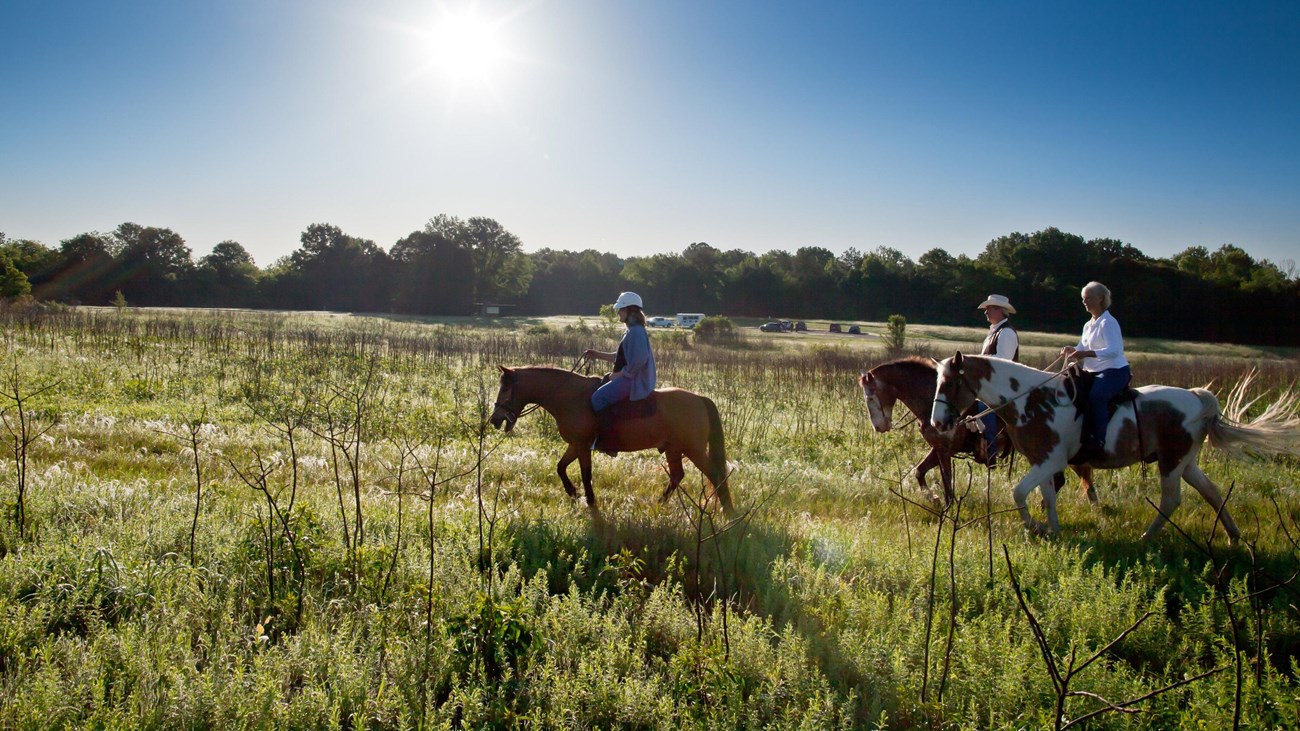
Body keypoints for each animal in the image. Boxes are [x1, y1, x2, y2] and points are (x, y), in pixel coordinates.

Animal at [488, 366, 738, 515]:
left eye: (506, 388)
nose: (495, 420)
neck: (570, 396)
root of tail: (700, 399)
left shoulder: (582, 446)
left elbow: (585, 474)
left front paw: (590, 501)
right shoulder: (575, 445)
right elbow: (560, 467)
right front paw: (573, 492)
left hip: (693, 450)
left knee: (715, 475)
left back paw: (729, 512)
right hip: (673, 449)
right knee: (677, 476)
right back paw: (658, 504)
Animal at [863, 356, 1097, 504]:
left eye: (871, 397)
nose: (879, 427)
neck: (931, 401)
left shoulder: (944, 450)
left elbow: (947, 483)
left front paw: (947, 508)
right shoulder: (938, 449)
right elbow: (919, 472)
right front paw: (933, 498)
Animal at [930, 353, 1300, 541]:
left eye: (949, 382)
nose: (938, 422)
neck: (1032, 400)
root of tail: (1198, 398)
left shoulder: (1050, 461)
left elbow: (1019, 493)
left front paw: (1035, 527)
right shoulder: (1043, 462)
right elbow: (1047, 497)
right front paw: (1053, 530)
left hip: (1171, 463)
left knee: (1172, 499)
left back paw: (1147, 539)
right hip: (1185, 462)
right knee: (1211, 490)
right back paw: (1233, 535)